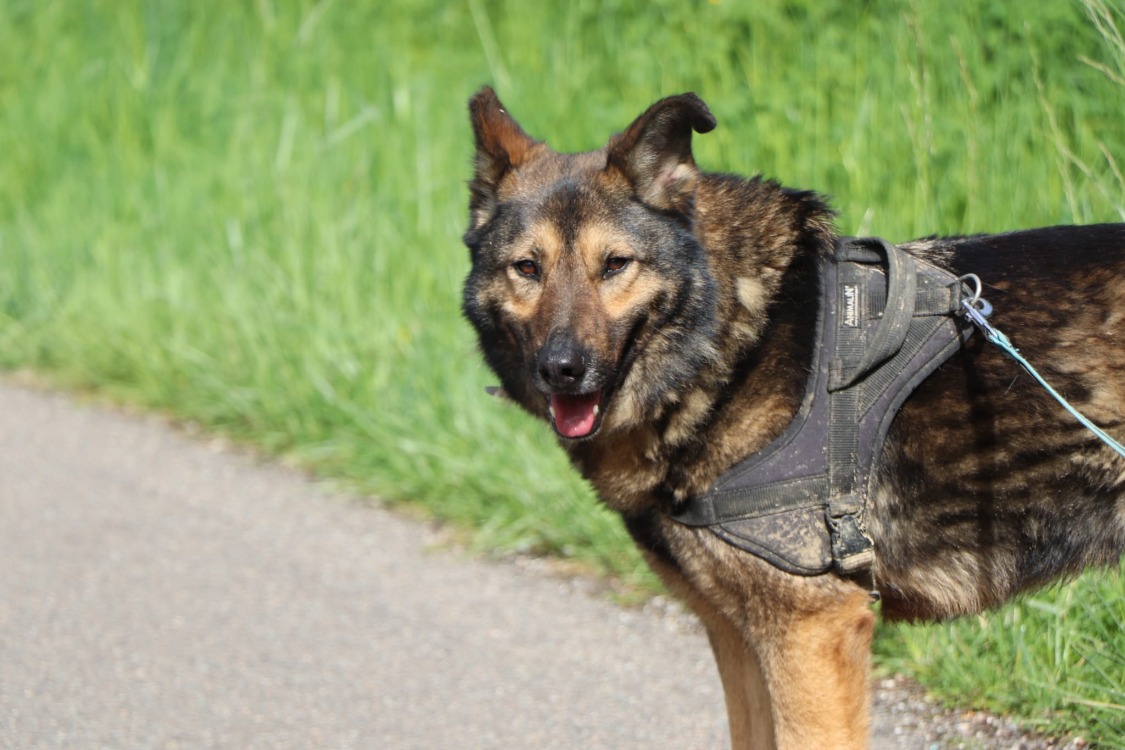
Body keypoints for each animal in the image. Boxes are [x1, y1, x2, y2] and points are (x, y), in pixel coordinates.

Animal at [461, 86, 1125, 749]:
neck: (735, 341)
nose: (561, 369)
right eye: (527, 268)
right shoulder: (737, 634)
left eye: (615, 265)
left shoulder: (808, 629)